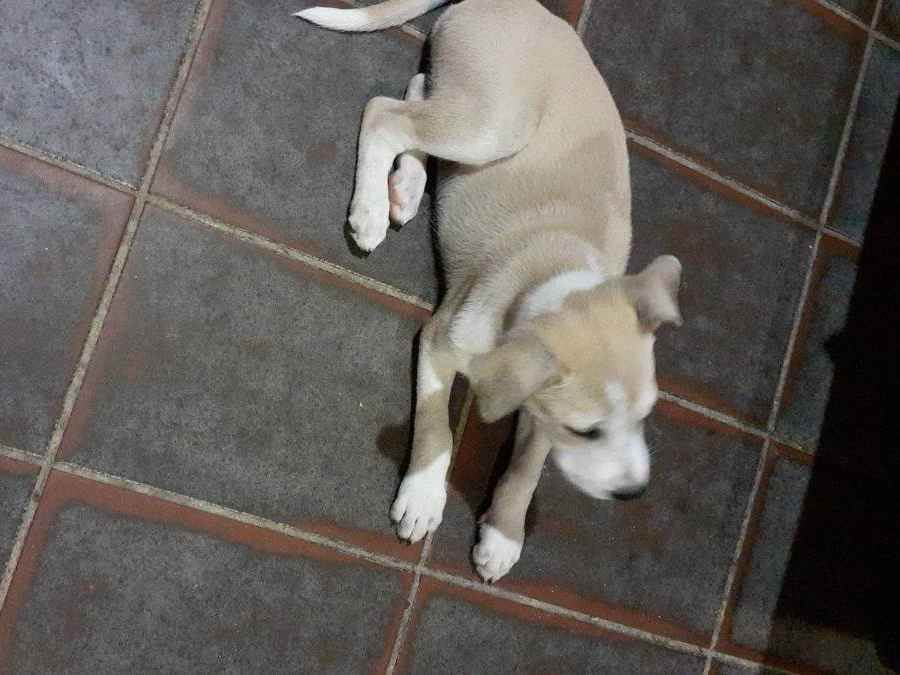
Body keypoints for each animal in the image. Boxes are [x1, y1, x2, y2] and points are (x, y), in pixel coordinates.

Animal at [296, 0, 683, 582]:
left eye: (645, 417)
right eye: (586, 431)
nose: (633, 494)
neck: (553, 276)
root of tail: (520, 4)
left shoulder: (537, 407)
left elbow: (527, 465)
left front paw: (504, 534)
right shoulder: (438, 343)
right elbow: (436, 424)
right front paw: (423, 497)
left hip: (470, 114)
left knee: (415, 97)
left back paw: (406, 188)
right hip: (494, 124)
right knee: (386, 114)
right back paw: (371, 210)